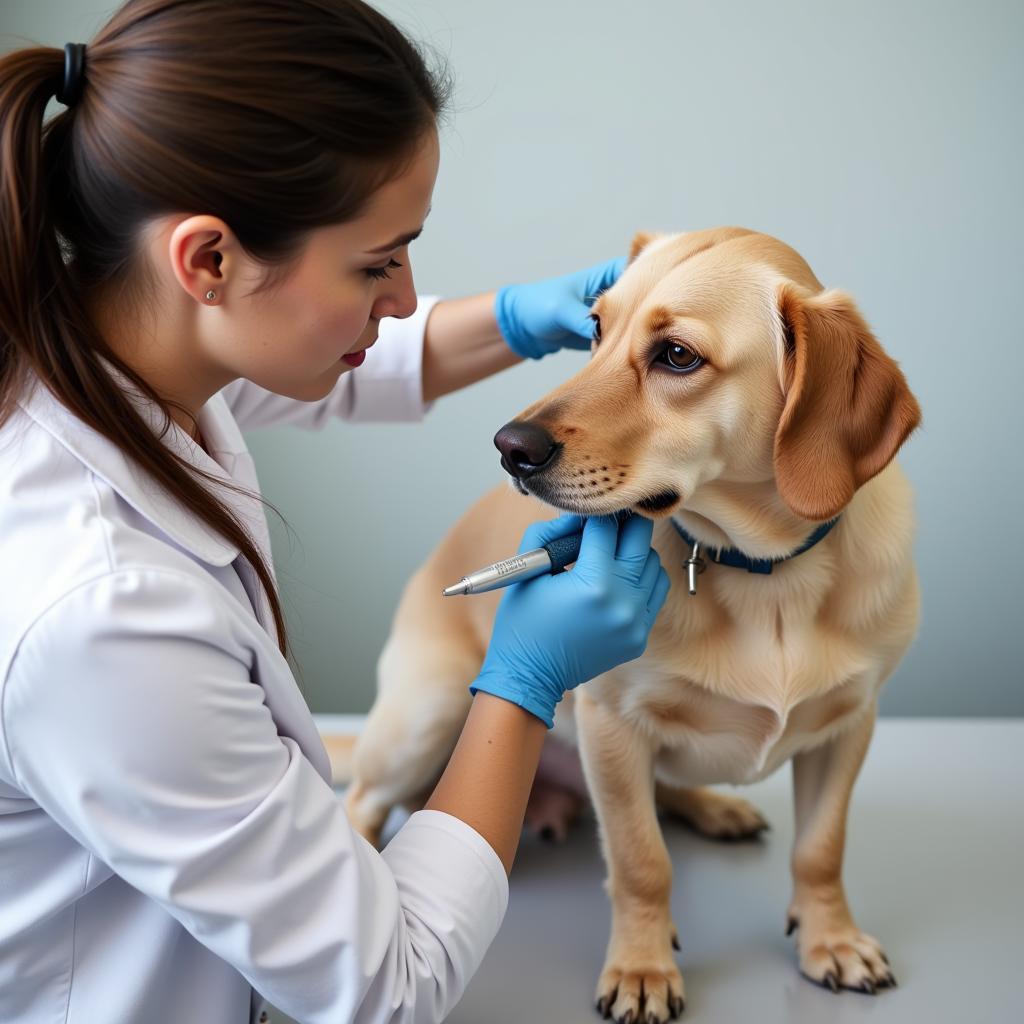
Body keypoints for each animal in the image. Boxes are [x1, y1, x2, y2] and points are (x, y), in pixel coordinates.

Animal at [333, 228, 921, 1019]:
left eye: (677, 355)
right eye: (594, 329)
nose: (510, 446)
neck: (762, 573)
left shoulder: (849, 726)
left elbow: (820, 850)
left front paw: (831, 938)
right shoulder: (614, 728)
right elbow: (643, 861)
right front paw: (643, 966)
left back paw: (710, 806)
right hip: (424, 716)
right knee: (364, 801)